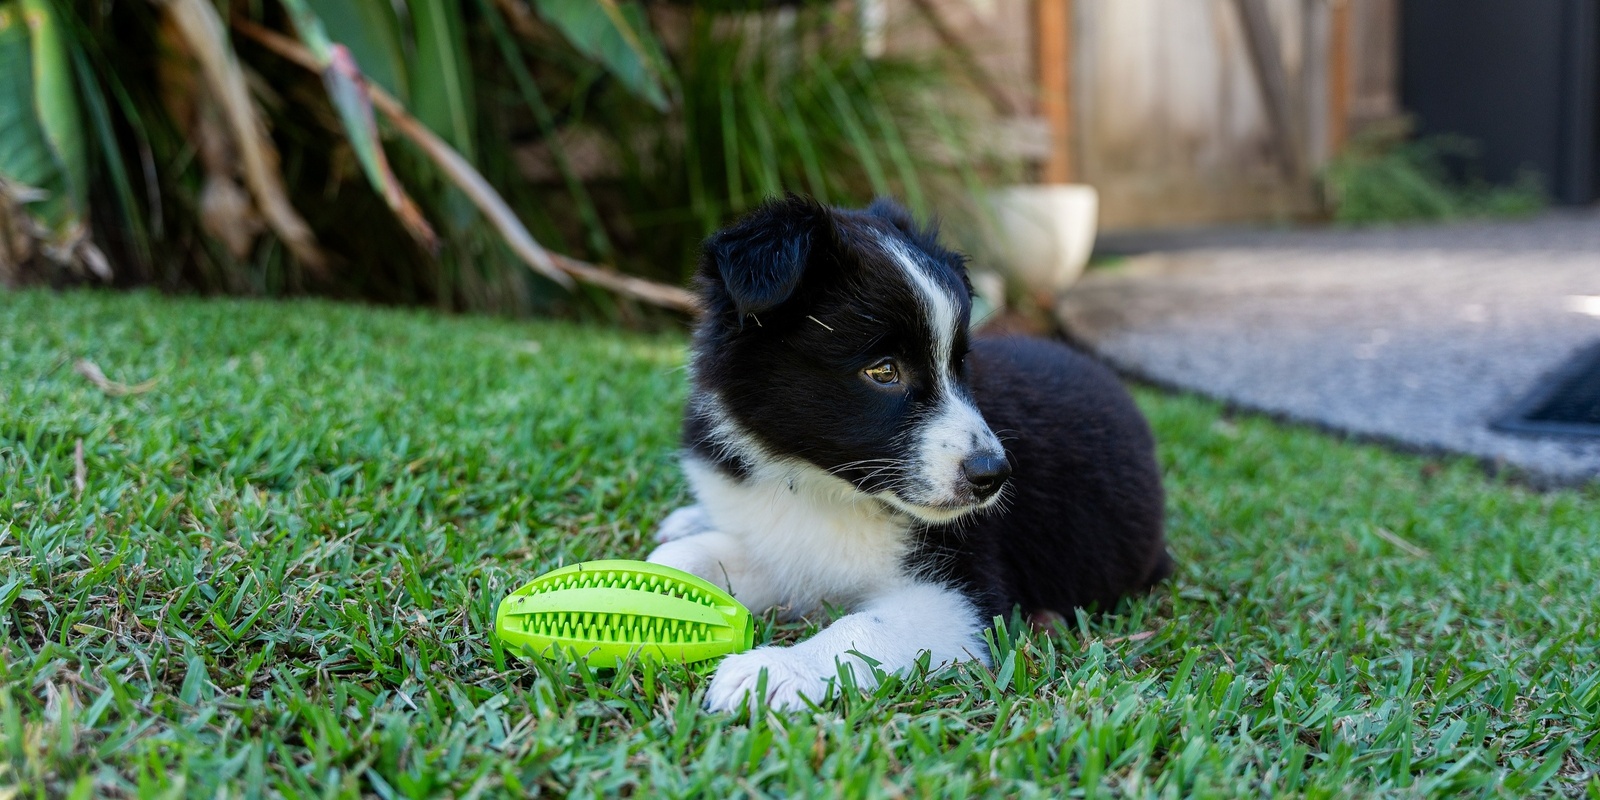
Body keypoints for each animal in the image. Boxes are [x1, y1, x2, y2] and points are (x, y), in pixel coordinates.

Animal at [643, 196, 1171, 710]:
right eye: (883, 371)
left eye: (961, 363)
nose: (993, 475)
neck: (818, 482)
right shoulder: (781, 544)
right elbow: (682, 561)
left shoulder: (964, 588)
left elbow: (863, 628)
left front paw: (772, 671)